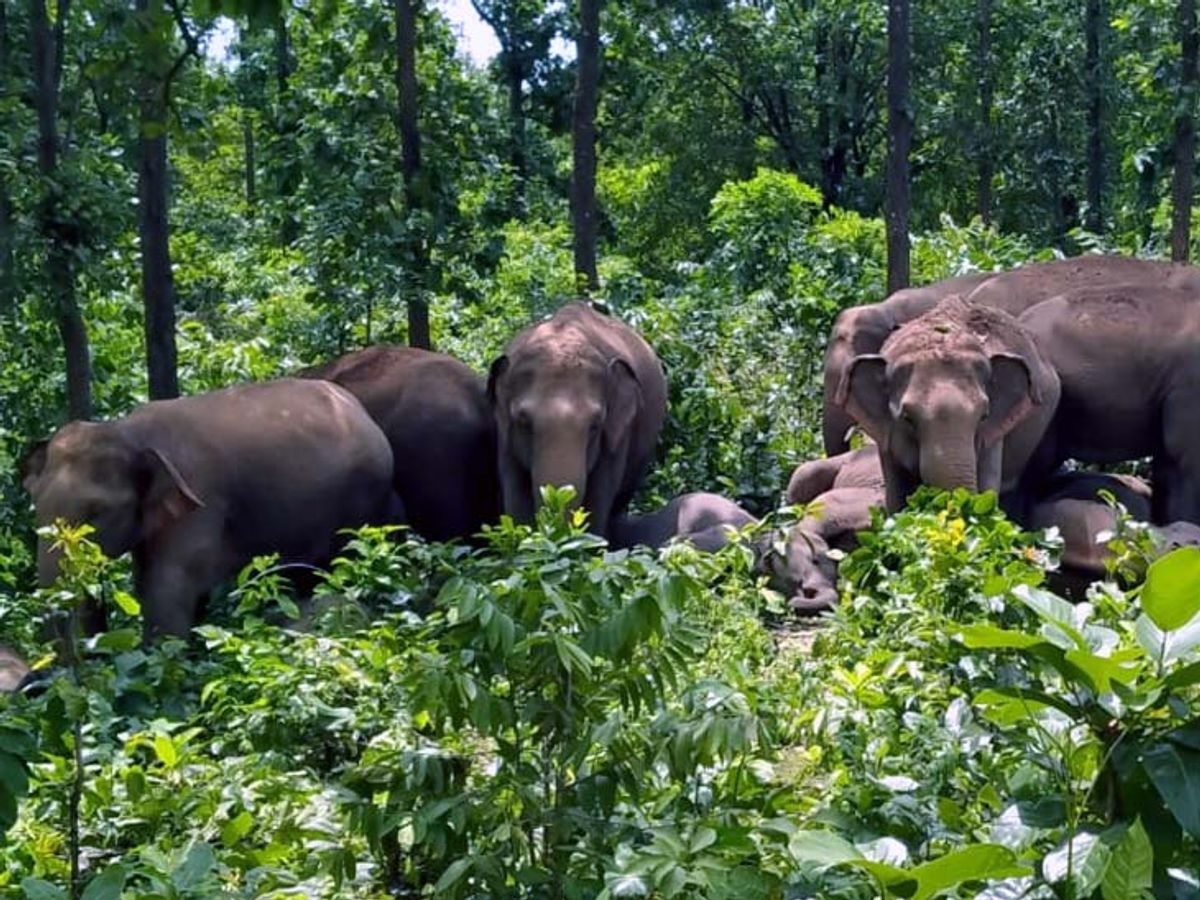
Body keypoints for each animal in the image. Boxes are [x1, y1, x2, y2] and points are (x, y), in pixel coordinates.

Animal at [488, 302, 668, 538]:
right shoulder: (505, 438)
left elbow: (599, 498)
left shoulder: (617, 436)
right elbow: (516, 497)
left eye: (595, 426)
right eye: (523, 422)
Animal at [837, 297, 1061, 514]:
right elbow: (896, 496)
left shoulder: (994, 435)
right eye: (907, 418)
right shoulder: (884, 437)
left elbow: (987, 484)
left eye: (984, 416)